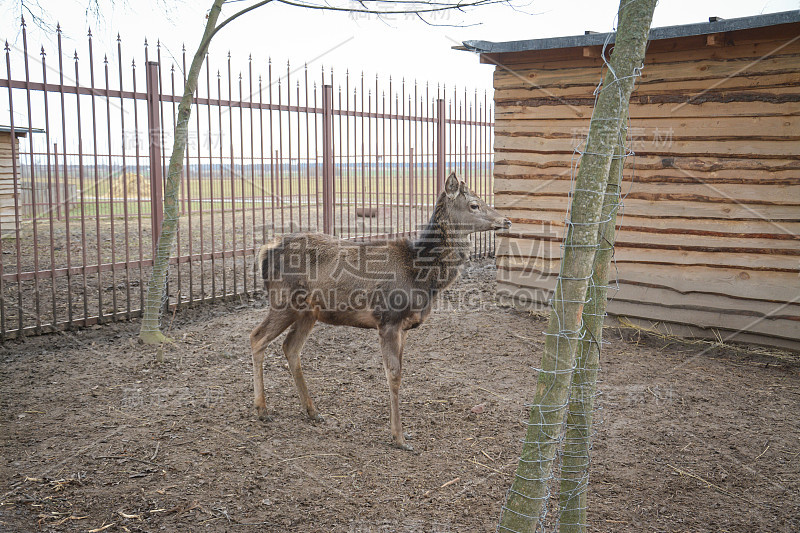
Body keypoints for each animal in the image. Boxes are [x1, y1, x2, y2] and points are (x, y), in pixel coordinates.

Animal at [252, 174, 512, 448]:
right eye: (474, 204)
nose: (506, 220)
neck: (421, 275)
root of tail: (265, 250)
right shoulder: (388, 319)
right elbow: (394, 375)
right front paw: (399, 437)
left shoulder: (405, 326)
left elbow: (401, 371)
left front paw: (403, 433)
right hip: (284, 301)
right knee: (257, 337)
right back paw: (262, 410)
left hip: (309, 312)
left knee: (290, 347)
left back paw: (312, 411)